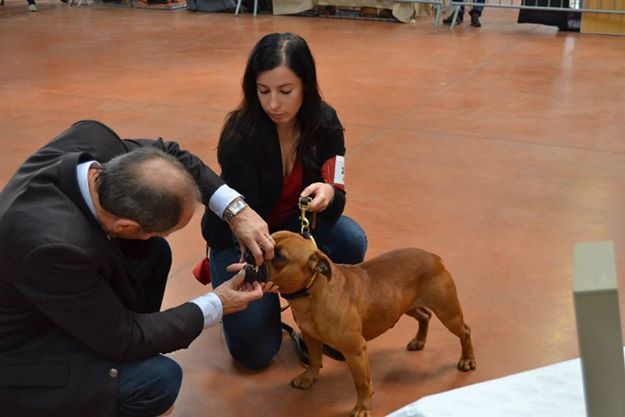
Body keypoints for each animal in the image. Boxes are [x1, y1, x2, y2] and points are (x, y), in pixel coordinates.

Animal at [266, 231, 476, 416]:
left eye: (279, 255)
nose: (258, 253)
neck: (313, 289)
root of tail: (433, 257)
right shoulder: (310, 336)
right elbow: (315, 359)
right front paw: (308, 378)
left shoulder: (355, 350)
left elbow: (362, 382)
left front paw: (363, 408)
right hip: (405, 307)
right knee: (425, 316)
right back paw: (419, 341)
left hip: (448, 313)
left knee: (464, 331)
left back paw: (467, 360)